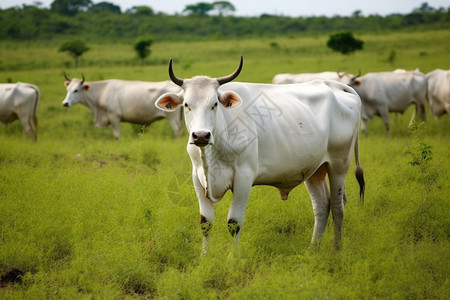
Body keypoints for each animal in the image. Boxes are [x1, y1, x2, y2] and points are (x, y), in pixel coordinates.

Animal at [156, 56, 364, 253]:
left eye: (215, 104)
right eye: (186, 105)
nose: (200, 135)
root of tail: (335, 85)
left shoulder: (244, 177)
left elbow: (234, 223)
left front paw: (233, 258)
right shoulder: (198, 178)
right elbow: (205, 223)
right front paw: (204, 257)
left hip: (339, 165)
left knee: (338, 206)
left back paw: (336, 248)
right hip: (314, 170)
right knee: (322, 206)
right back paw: (313, 249)